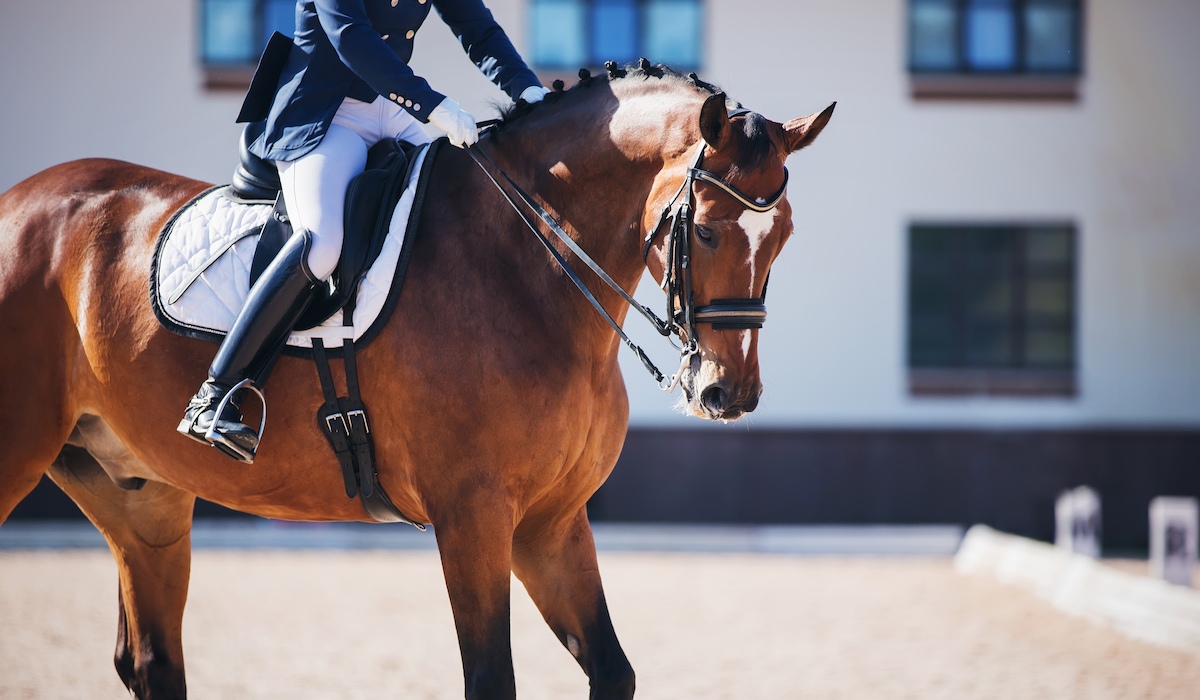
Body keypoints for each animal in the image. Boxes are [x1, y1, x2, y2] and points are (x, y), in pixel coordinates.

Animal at [0, 64, 833, 699]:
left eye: (785, 234)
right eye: (706, 231)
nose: (729, 394)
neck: (529, 269)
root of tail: (22, 200)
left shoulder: (551, 522)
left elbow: (612, 671)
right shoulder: (472, 518)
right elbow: (491, 680)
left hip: (142, 497)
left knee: (151, 662)